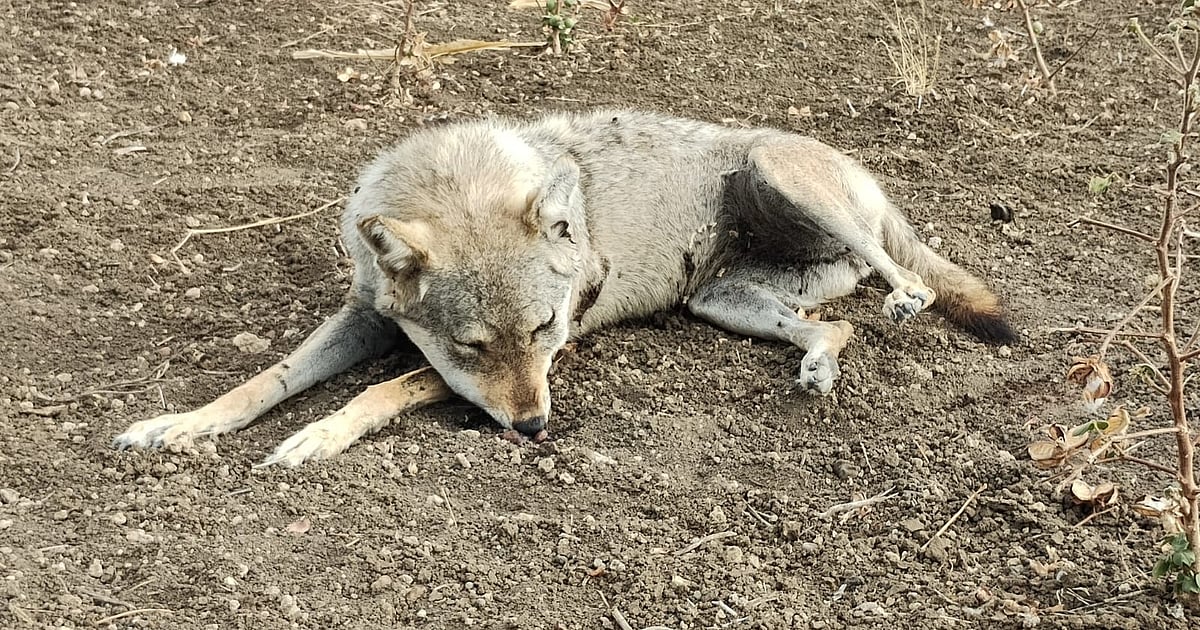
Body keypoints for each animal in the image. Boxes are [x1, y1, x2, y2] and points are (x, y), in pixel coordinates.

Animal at [112, 110, 1016, 466]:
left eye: (545, 331)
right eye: (474, 344)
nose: (536, 429)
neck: (458, 184)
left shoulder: (562, 348)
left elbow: (388, 389)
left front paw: (318, 436)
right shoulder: (367, 318)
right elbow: (265, 380)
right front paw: (180, 424)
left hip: (780, 175)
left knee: (907, 277)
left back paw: (902, 297)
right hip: (722, 303)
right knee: (835, 327)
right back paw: (820, 363)